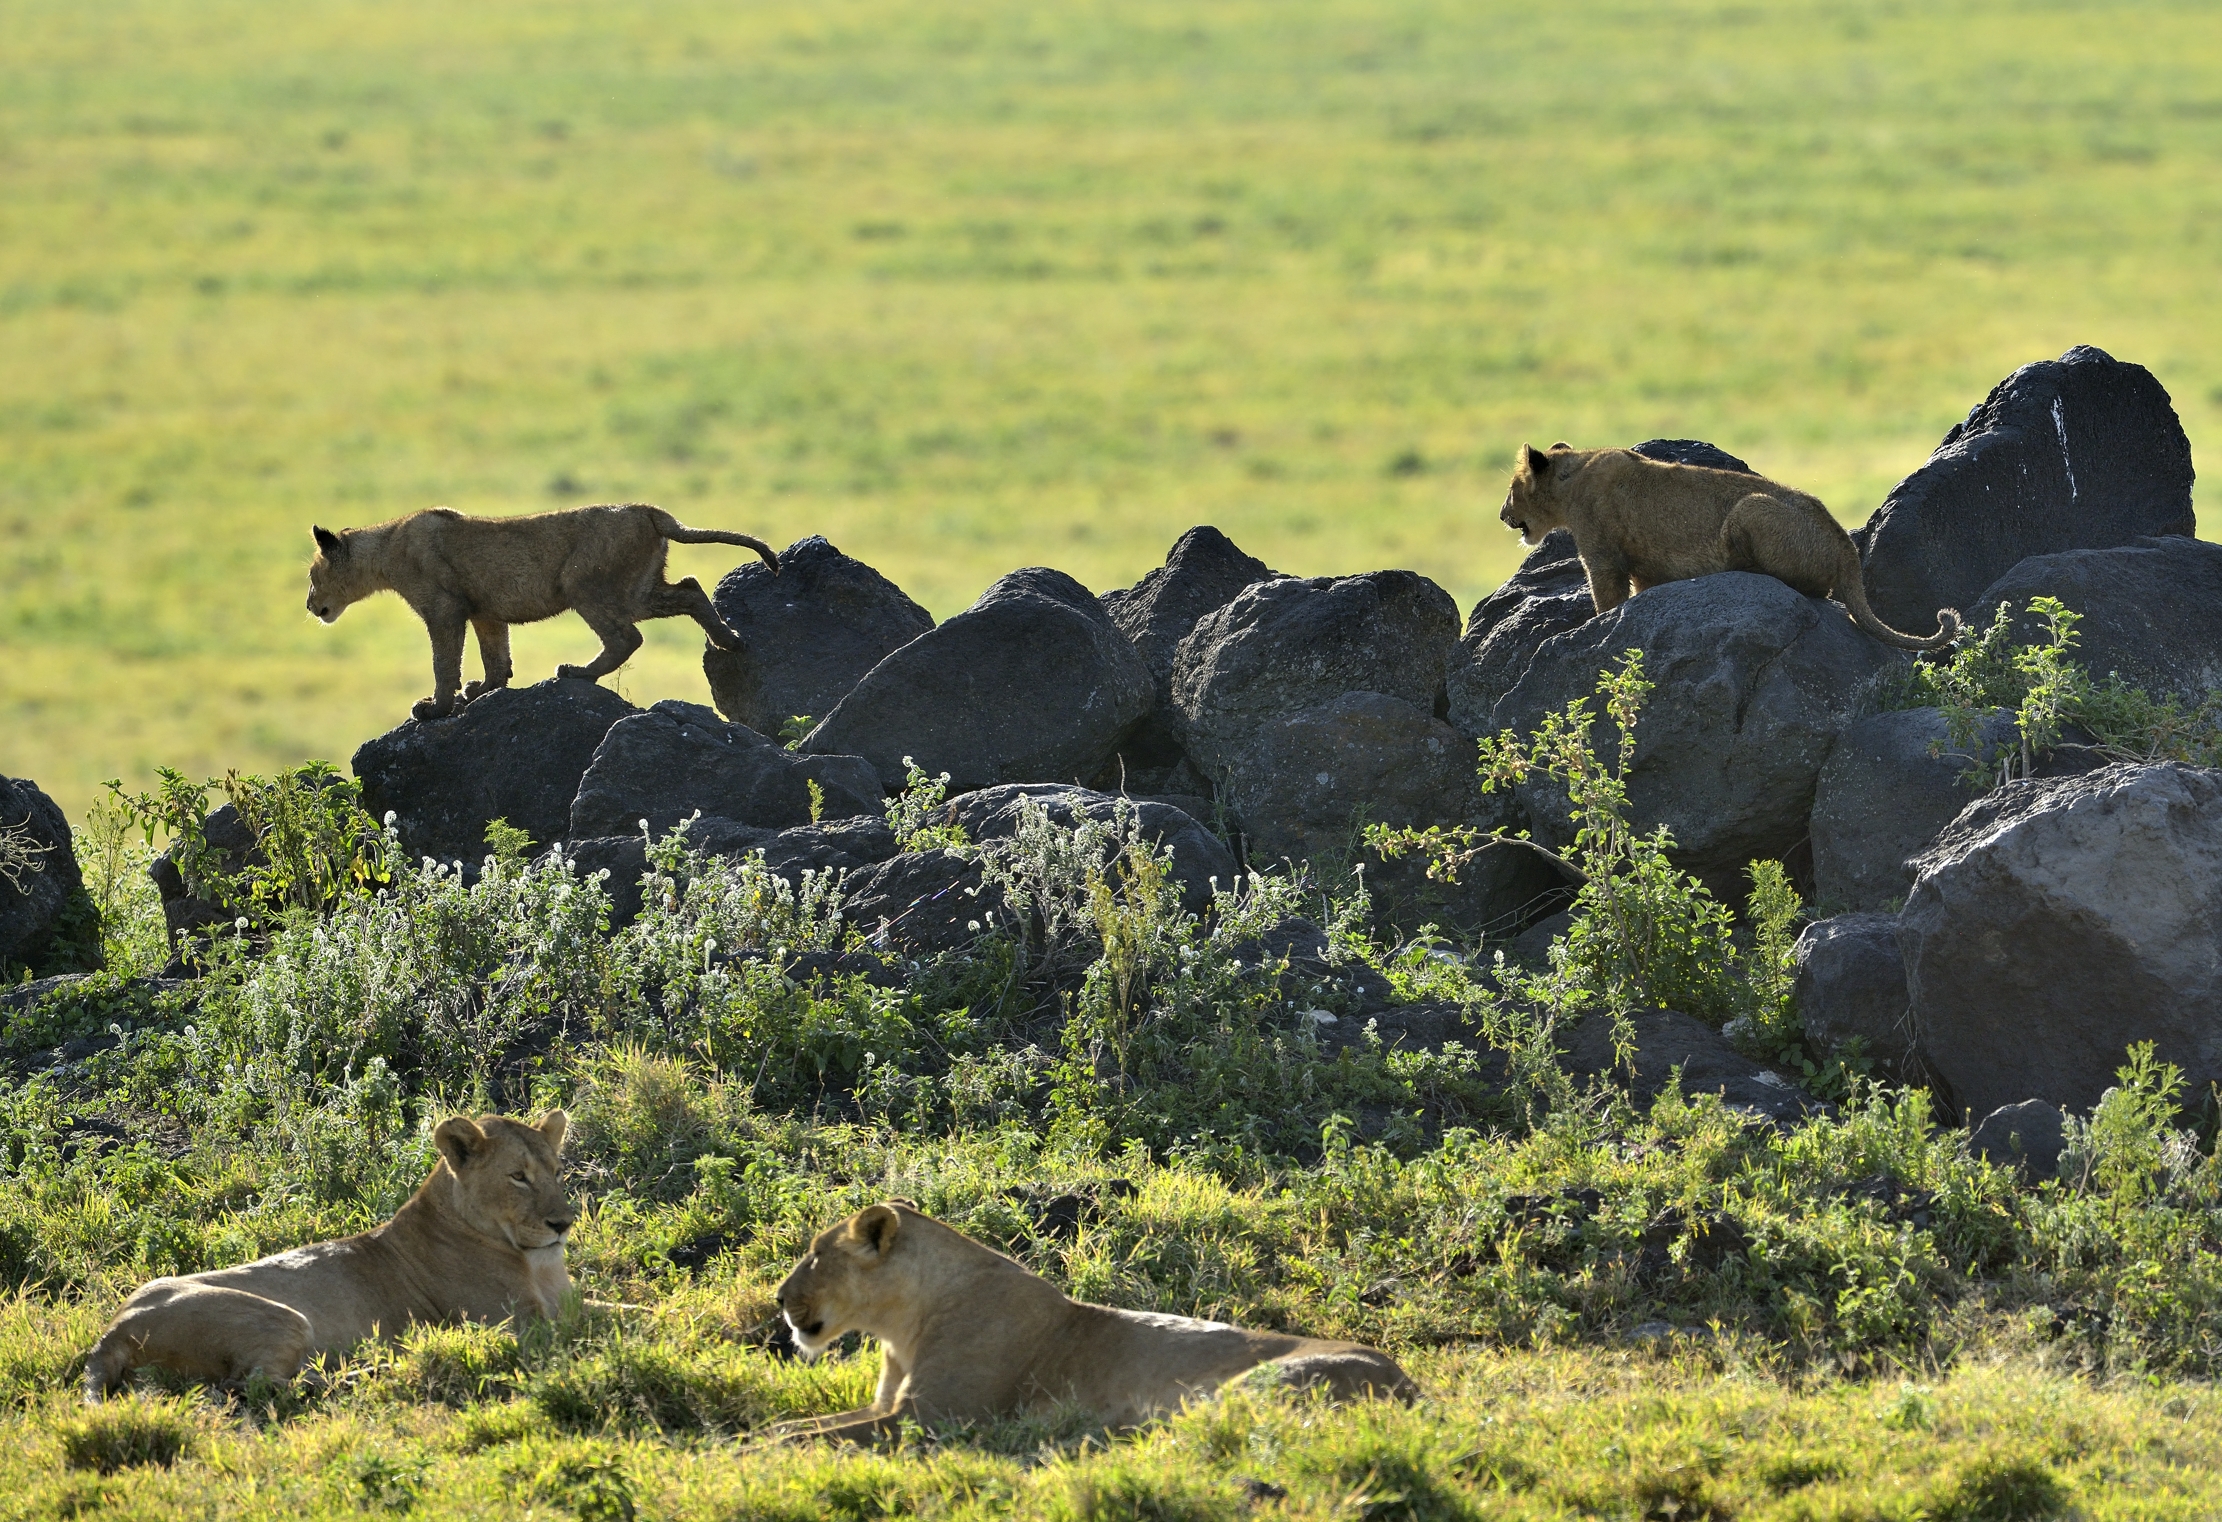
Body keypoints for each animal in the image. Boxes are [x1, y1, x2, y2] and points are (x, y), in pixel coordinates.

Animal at [82, 1111, 573, 1403]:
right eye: (518, 1177)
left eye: (556, 1171)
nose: (564, 1223)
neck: (536, 1262)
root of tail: (110, 1332)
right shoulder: (516, 1324)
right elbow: (588, 1328)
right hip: (284, 1317)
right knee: (252, 1384)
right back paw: (371, 1371)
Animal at [306, 504, 781, 720]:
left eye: (312, 575)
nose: (310, 606)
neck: (384, 548)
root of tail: (648, 509)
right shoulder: (484, 611)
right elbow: (496, 657)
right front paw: (481, 691)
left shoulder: (444, 609)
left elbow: (444, 662)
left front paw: (436, 707)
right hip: (638, 588)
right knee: (690, 589)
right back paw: (729, 640)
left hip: (584, 583)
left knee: (627, 636)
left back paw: (577, 672)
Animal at [768, 1201, 1417, 1442]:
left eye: (816, 1254)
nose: (777, 1298)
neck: (900, 1327)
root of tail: (1412, 1387)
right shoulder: (888, 1406)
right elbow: (800, 1425)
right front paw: (761, 1438)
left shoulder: (933, 1418)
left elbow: (810, 1437)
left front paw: (752, 1454)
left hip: (1249, 1387)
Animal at [1499, 443, 1960, 650]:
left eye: (1512, 488)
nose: (1502, 515)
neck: (1573, 478)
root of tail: (1847, 549)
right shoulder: (1645, 570)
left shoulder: (1602, 556)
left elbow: (1606, 601)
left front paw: (1592, 626)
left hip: (1750, 507)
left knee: (1809, 587)